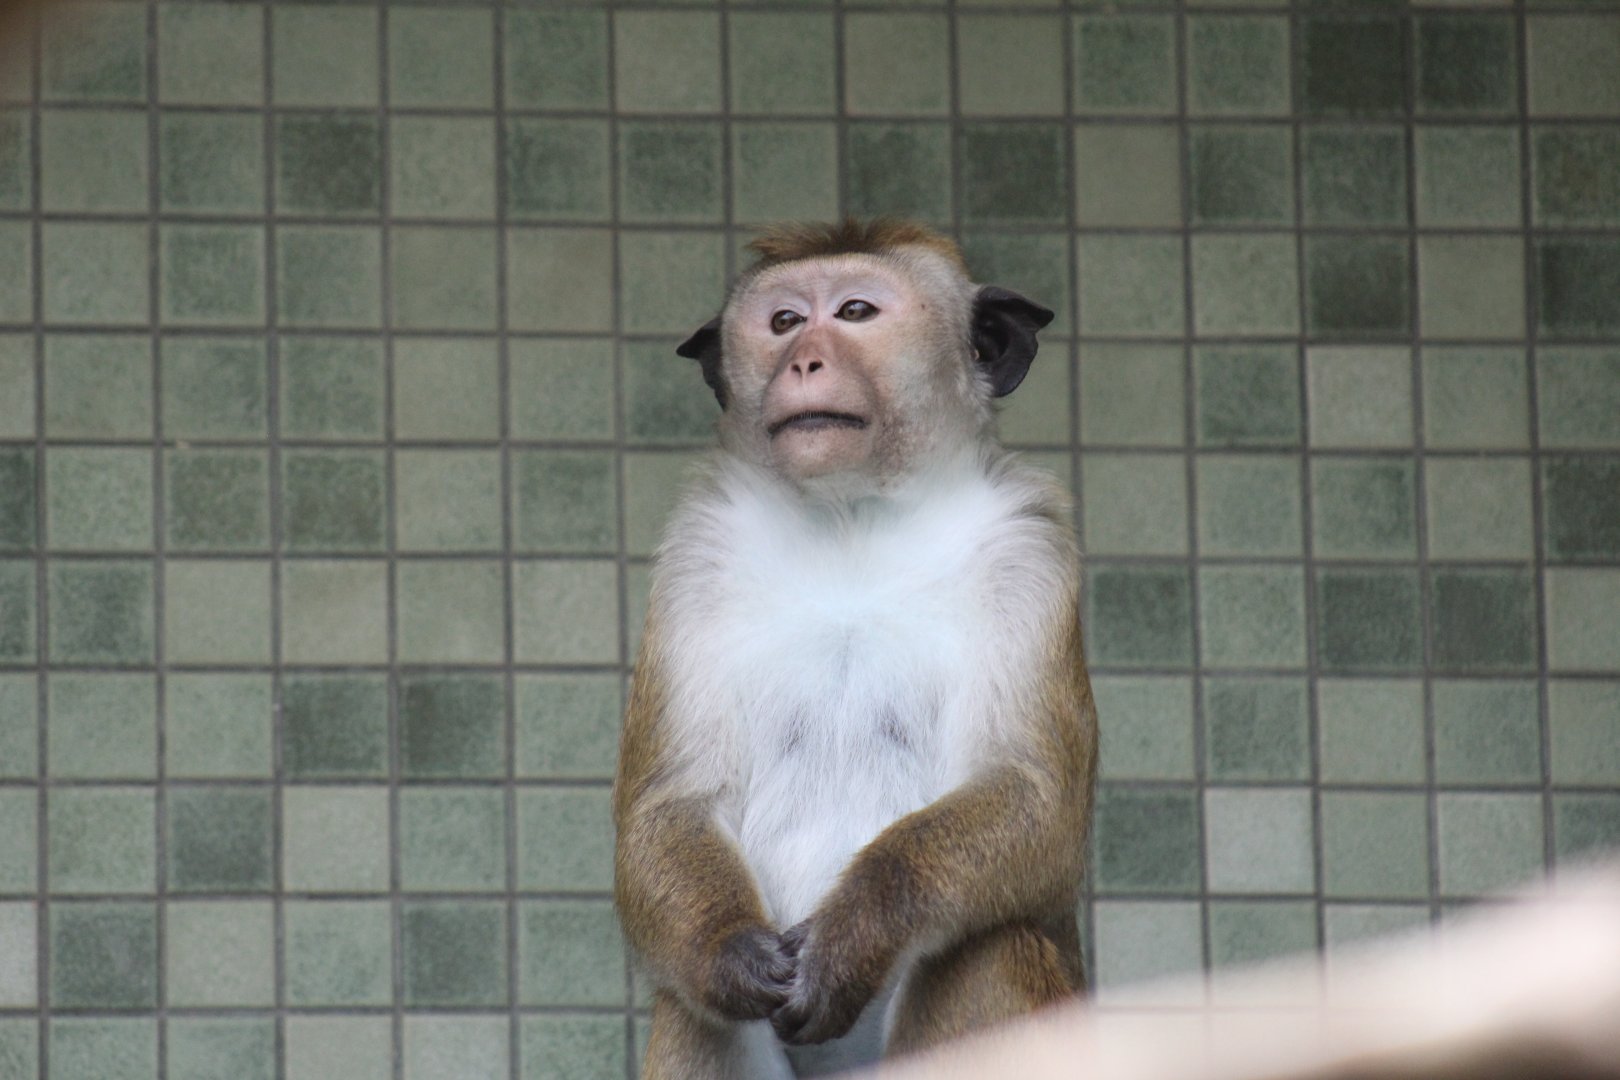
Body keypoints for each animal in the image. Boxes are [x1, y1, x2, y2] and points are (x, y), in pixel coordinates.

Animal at [613, 219, 1098, 1080]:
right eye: (782, 322)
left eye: (856, 312)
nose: (804, 361)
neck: (853, 519)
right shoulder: (699, 556)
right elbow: (672, 801)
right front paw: (732, 954)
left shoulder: (1030, 549)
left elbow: (1031, 792)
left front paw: (851, 940)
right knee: (690, 1006)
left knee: (985, 949)